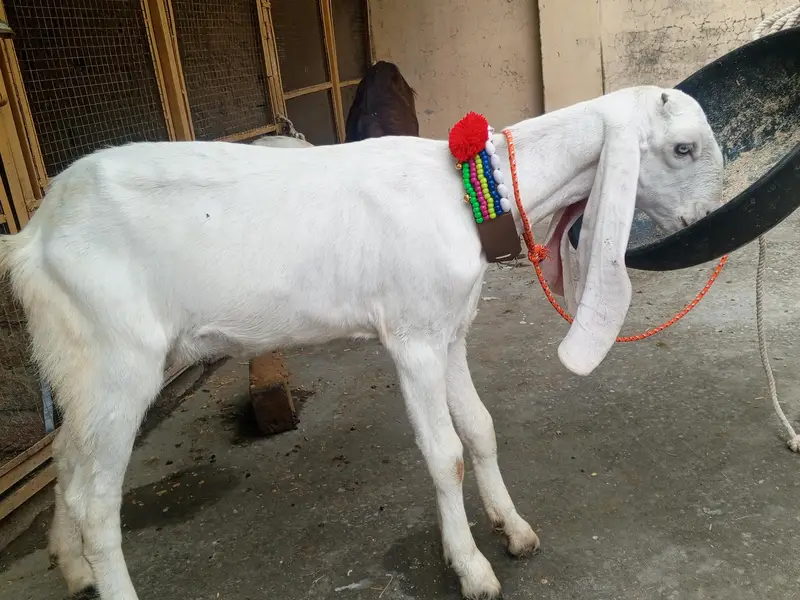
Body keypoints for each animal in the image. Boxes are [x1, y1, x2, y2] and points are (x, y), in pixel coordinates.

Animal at [0, 86, 723, 600]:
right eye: (683, 148)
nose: (706, 221)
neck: (460, 192)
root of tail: (33, 237)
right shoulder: (411, 339)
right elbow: (445, 454)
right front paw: (470, 568)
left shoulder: (449, 330)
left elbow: (481, 429)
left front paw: (513, 529)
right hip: (118, 362)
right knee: (96, 503)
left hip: (79, 363)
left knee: (66, 459)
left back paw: (73, 567)